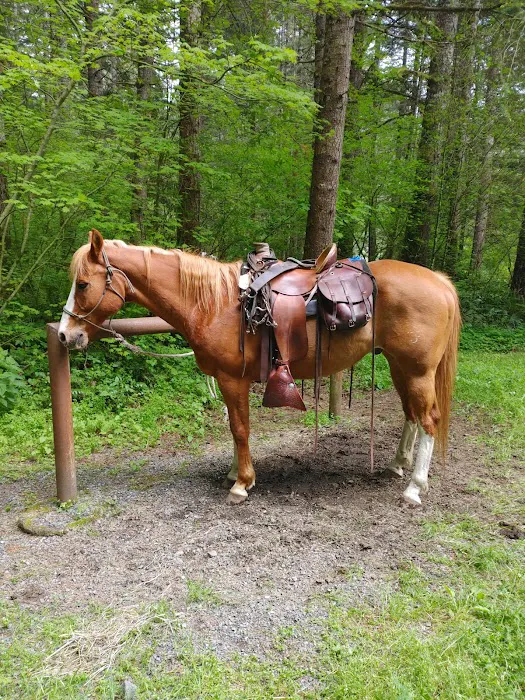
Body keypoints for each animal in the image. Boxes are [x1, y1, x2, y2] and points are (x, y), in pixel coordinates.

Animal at [58, 229, 461, 507]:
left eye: (83, 284)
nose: (65, 335)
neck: (216, 304)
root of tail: (440, 282)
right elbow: (236, 429)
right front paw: (235, 473)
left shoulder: (232, 380)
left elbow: (239, 429)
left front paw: (242, 483)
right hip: (399, 366)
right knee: (411, 415)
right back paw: (397, 465)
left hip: (418, 371)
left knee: (428, 420)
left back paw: (414, 488)